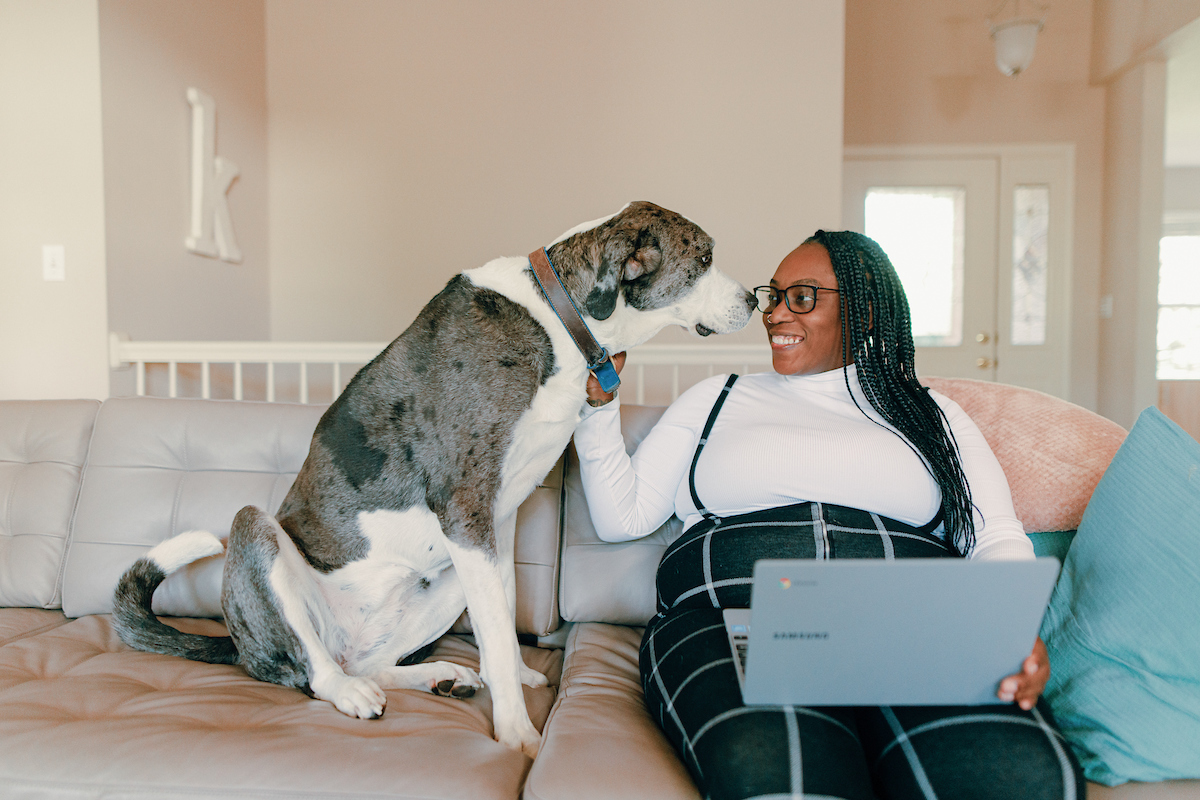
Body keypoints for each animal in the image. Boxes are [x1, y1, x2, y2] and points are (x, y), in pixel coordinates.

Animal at [110, 200, 748, 758]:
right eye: (706, 258)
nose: (752, 299)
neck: (559, 316)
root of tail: (241, 645)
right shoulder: (465, 509)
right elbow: (496, 633)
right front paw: (517, 733)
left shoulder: (497, 523)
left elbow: (503, 613)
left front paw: (517, 675)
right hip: (257, 536)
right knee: (312, 670)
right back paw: (350, 691)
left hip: (442, 581)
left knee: (368, 662)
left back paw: (439, 675)